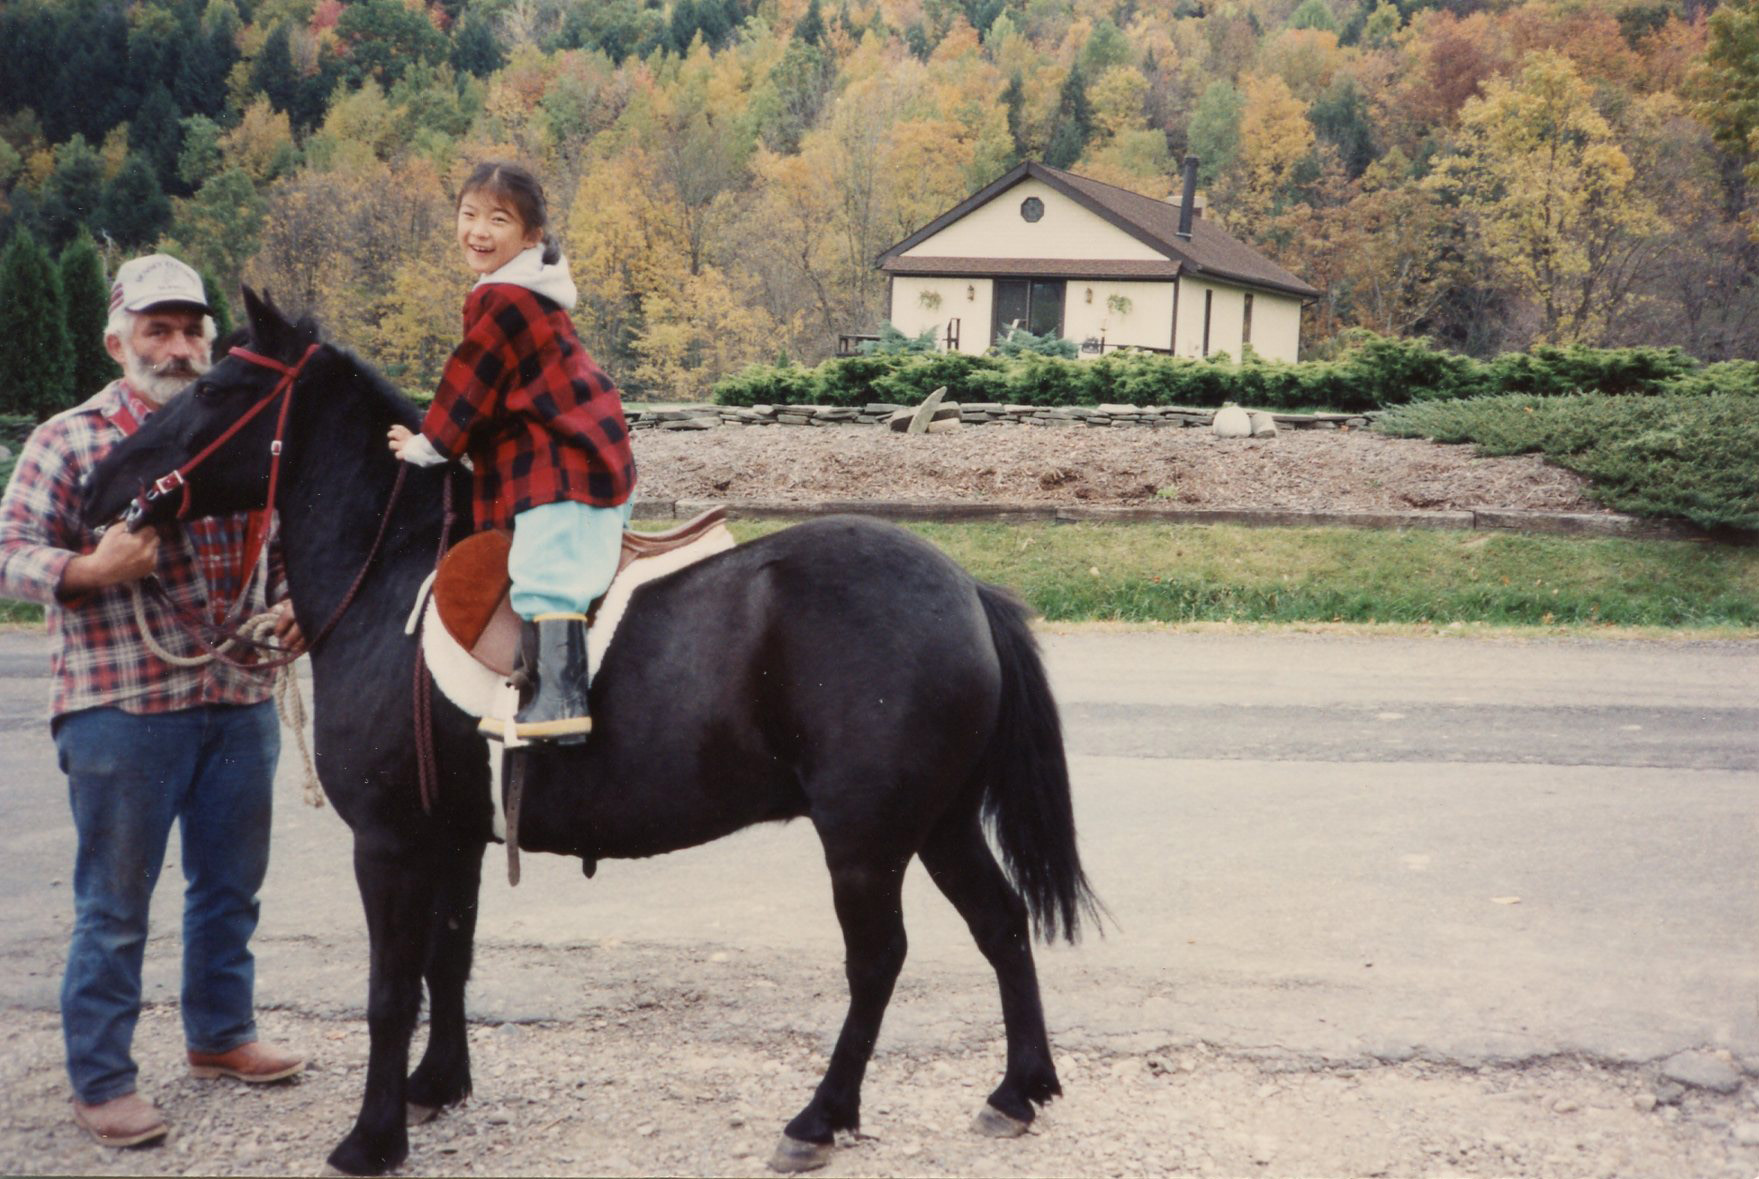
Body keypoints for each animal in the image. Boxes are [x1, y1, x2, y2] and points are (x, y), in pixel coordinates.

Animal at [82, 289, 1101, 1176]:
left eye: (215, 390)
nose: (98, 483)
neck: (392, 577)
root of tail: (964, 587)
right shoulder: (454, 835)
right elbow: (448, 959)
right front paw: (436, 1084)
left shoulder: (390, 841)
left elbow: (389, 990)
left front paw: (372, 1137)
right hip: (936, 824)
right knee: (1002, 925)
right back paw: (1018, 1088)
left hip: (866, 840)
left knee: (878, 961)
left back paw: (821, 1115)